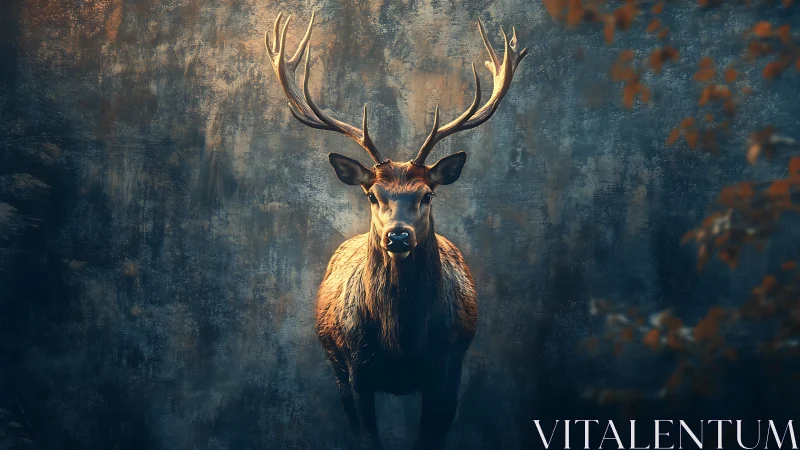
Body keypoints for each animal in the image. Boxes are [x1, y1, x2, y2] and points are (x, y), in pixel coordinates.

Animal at [264, 11, 527, 450]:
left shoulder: (447, 365)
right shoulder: (354, 367)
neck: (400, 342)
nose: (398, 236)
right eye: (372, 194)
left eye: (427, 194)